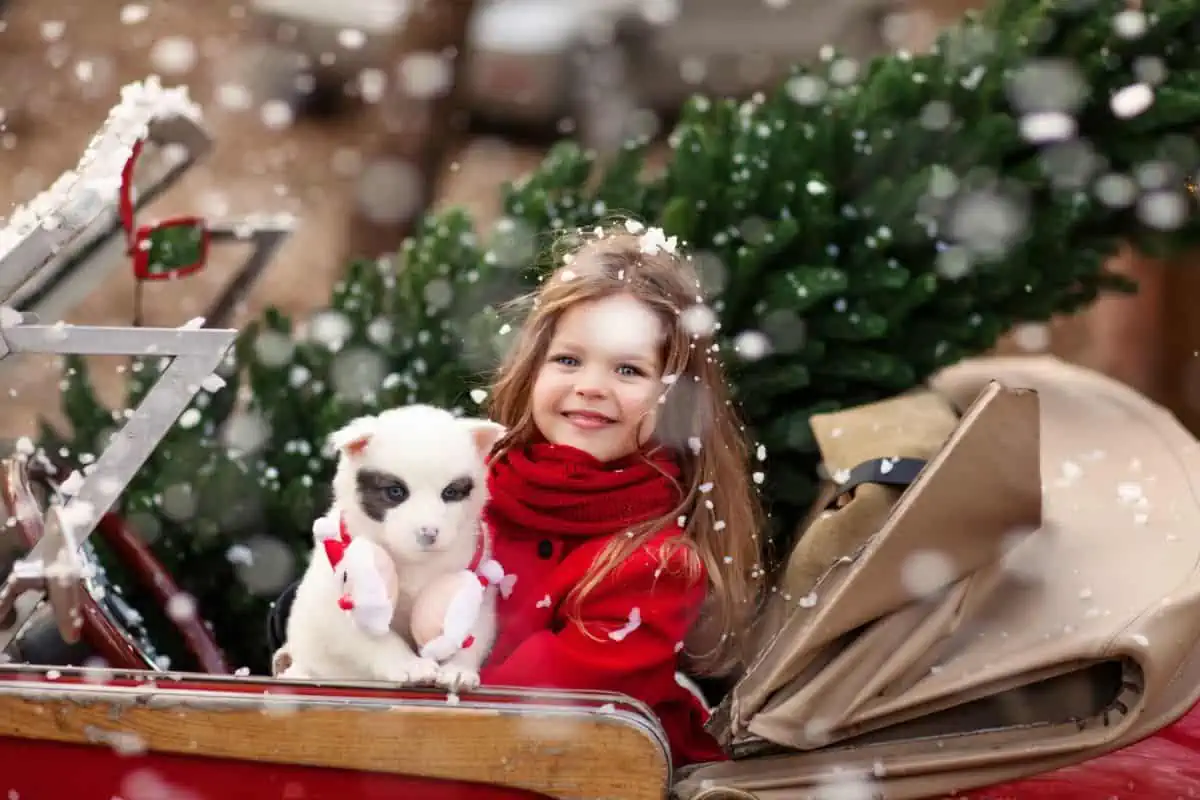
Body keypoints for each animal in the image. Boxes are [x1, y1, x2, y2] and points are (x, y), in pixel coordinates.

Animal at [279, 402, 501, 690]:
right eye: (396, 492)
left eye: (450, 492)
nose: (428, 533)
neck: (414, 561)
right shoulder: (339, 600)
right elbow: (375, 637)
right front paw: (412, 666)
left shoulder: (478, 585)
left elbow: (471, 629)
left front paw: (457, 669)